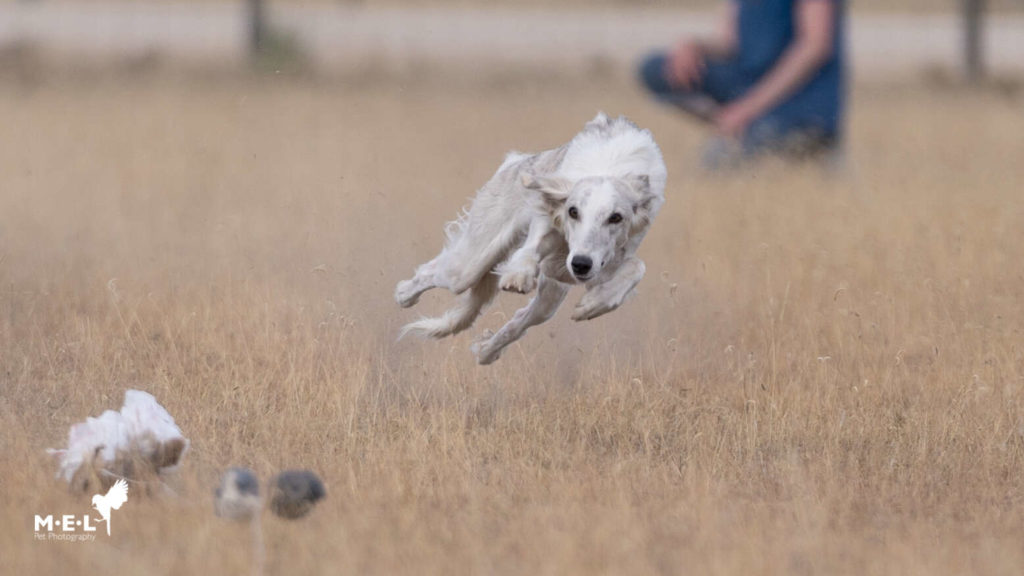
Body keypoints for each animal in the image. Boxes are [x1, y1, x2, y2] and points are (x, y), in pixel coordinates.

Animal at [395, 112, 667, 362]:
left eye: (616, 217)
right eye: (573, 211)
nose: (580, 264)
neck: (608, 169)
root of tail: (518, 160)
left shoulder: (594, 264)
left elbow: (636, 267)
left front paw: (593, 304)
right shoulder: (549, 230)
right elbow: (530, 250)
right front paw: (518, 276)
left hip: (549, 298)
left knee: (518, 322)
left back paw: (486, 351)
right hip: (469, 264)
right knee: (432, 273)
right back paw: (404, 295)